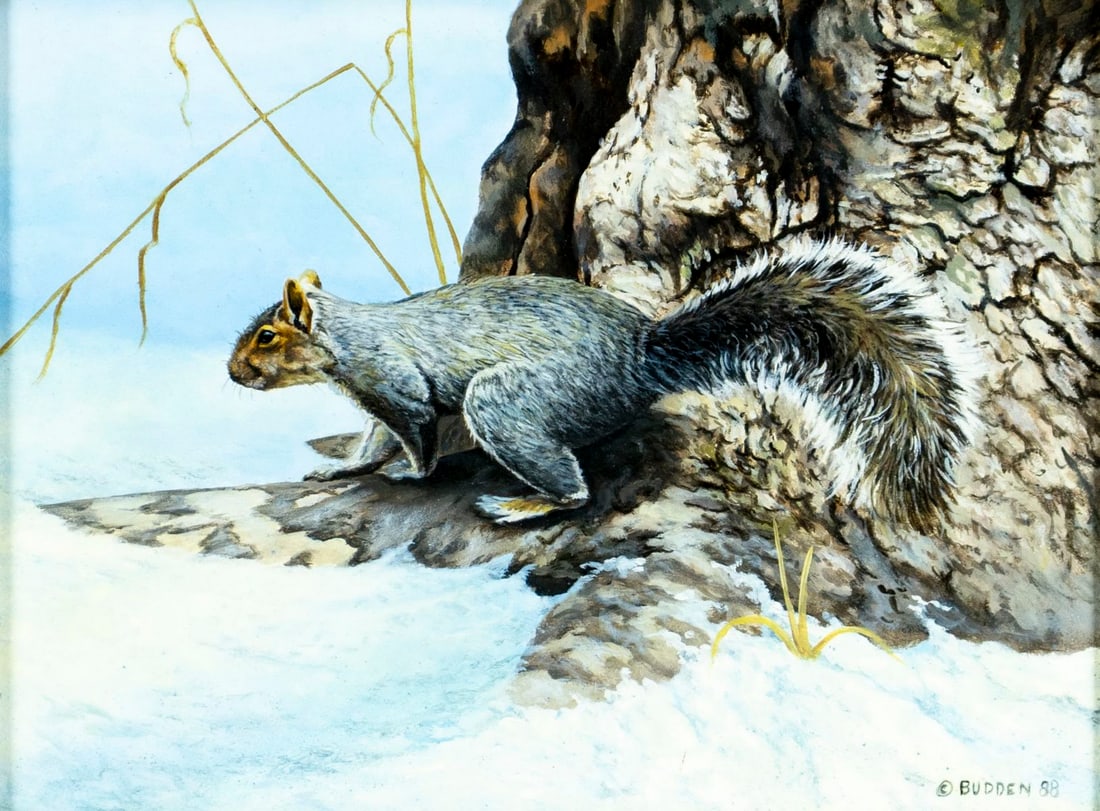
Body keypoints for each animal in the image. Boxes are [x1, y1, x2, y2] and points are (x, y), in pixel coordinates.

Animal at [228, 238, 977, 531]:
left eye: (266, 335)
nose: (232, 372)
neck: (347, 337)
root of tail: (641, 356)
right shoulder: (374, 398)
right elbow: (370, 441)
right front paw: (339, 470)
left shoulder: (398, 385)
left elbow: (414, 439)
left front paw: (411, 476)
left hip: (510, 402)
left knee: (574, 490)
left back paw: (523, 504)